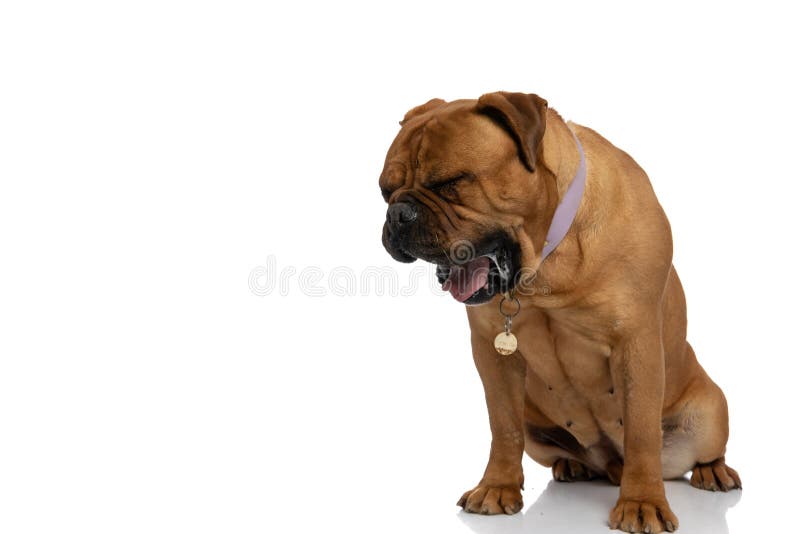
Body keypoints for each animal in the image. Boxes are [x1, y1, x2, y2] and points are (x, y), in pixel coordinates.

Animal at [378, 94, 740, 532]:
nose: (397, 214)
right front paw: (497, 487)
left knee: (702, 448)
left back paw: (713, 471)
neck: (546, 263)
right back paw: (572, 466)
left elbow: (641, 431)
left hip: (709, 411)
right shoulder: (492, 353)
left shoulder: (636, 343)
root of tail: (609, 466)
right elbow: (503, 426)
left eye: (451, 182)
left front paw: (641, 502)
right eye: (384, 191)